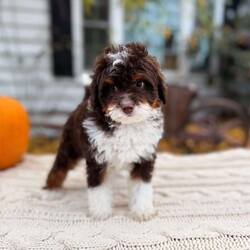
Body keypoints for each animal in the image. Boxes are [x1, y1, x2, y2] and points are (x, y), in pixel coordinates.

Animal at [46, 42, 167, 220]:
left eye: (140, 83)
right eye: (113, 87)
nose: (127, 107)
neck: (126, 125)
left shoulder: (144, 156)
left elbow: (141, 185)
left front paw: (142, 210)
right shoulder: (96, 157)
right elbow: (98, 186)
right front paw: (100, 212)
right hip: (70, 146)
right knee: (60, 165)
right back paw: (51, 190)